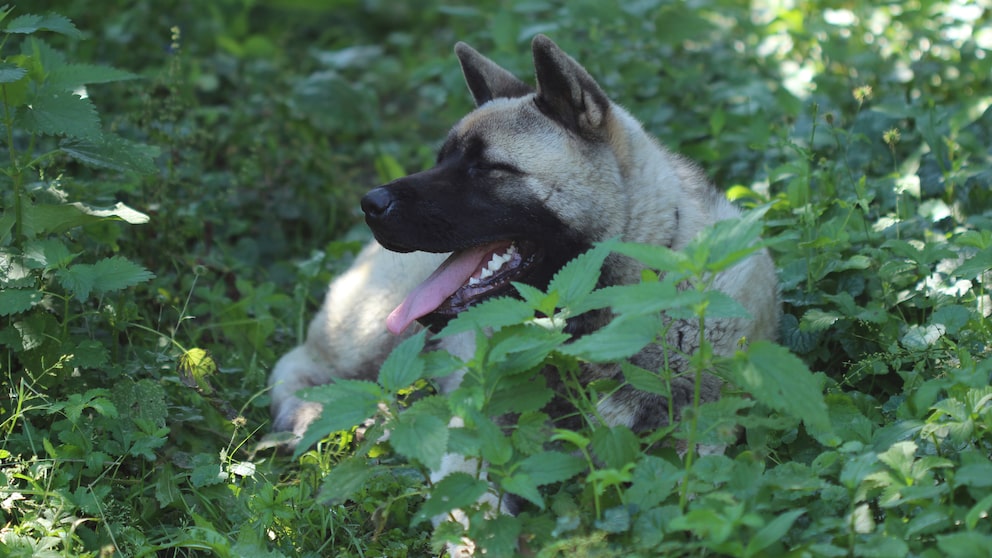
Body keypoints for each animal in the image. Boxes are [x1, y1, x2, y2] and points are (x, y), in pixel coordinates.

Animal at [268, 35, 780, 556]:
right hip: (370, 335)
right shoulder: (477, 444)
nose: (370, 204)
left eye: (486, 168)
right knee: (300, 367)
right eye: (441, 160)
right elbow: (475, 513)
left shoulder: (701, 441)